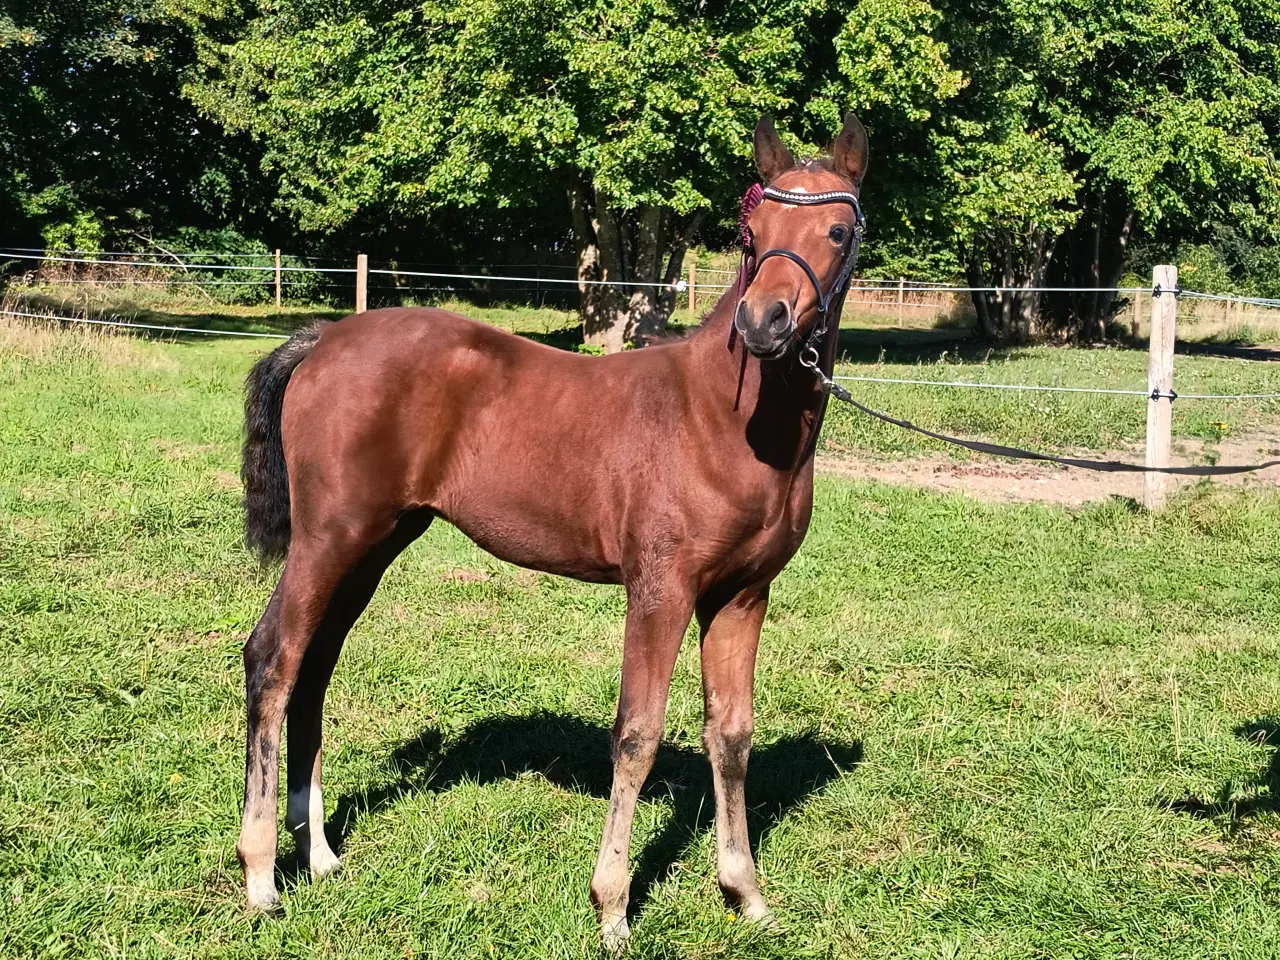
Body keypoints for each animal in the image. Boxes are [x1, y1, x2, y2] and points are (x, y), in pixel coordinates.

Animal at [235, 112, 869, 950]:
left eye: (837, 230)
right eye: (750, 232)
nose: (762, 322)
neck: (726, 420)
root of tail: (323, 341)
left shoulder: (742, 596)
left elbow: (730, 736)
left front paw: (746, 896)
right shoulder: (660, 591)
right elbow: (636, 734)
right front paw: (613, 911)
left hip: (371, 545)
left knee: (315, 667)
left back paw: (322, 858)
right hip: (327, 539)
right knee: (273, 660)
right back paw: (261, 878)